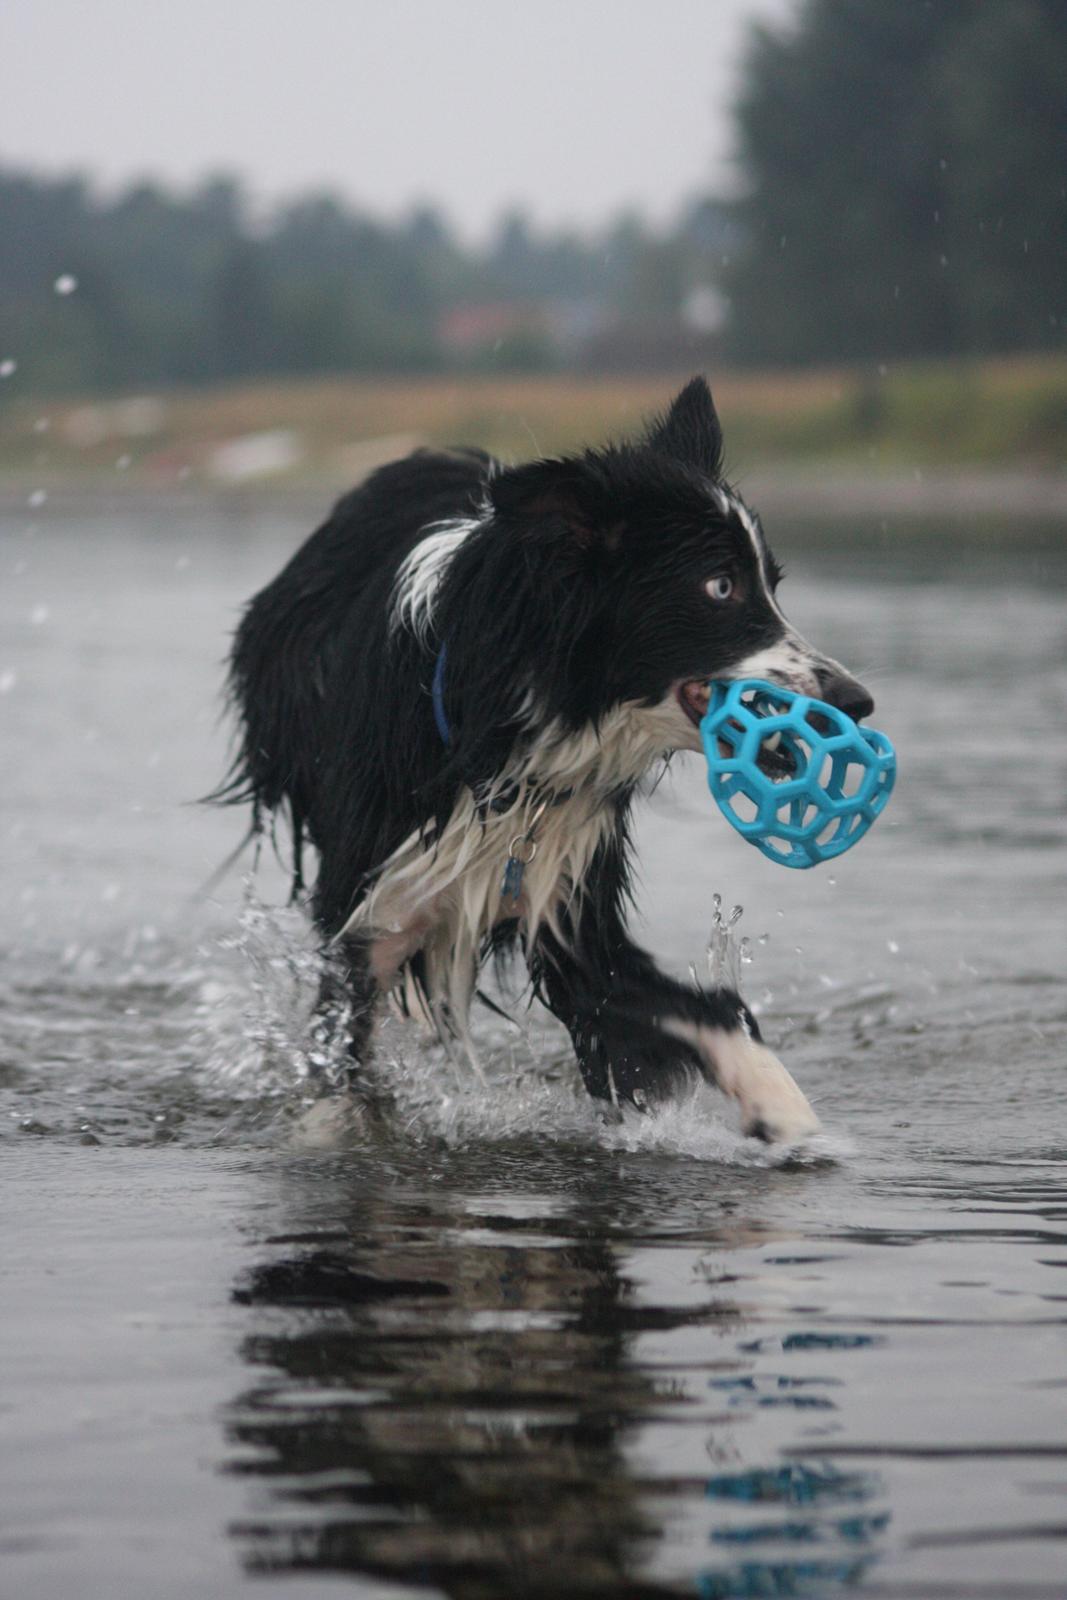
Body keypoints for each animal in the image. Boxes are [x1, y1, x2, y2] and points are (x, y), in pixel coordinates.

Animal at [219, 377, 876, 1139]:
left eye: (771, 582)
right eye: (720, 586)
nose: (857, 701)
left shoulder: (569, 901)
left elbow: (681, 1006)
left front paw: (782, 1107)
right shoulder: (372, 898)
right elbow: (340, 1047)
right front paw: (334, 1124)